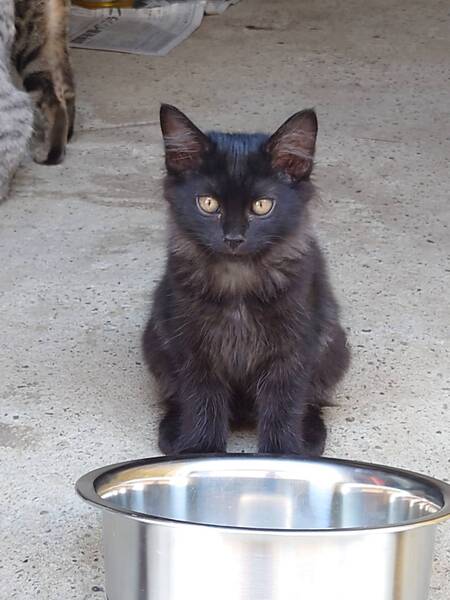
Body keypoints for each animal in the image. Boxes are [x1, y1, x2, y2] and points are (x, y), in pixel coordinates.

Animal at [143, 104, 350, 456]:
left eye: (262, 206)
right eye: (208, 203)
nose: (234, 238)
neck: (237, 280)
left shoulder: (292, 350)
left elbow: (283, 407)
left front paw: (282, 455)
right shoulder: (195, 348)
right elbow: (202, 403)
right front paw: (201, 450)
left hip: (332, 347)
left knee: (311, 400)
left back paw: (311, 435)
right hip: (157, 340)